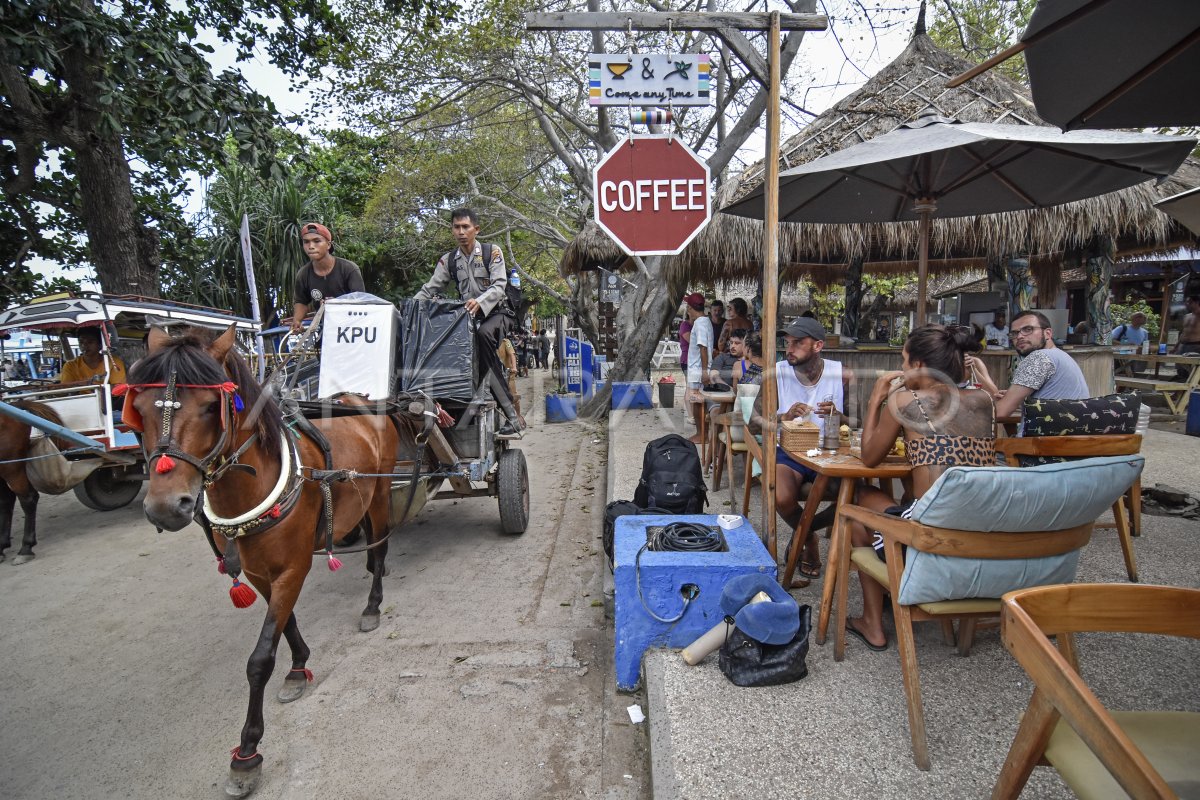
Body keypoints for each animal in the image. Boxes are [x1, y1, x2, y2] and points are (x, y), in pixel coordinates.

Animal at [130, 326, 403, 800]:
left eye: (210, 407)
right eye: (140, 408)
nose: (165, 507)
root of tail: (361, 400)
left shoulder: (293, 568)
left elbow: (259, 659)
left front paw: (247, 752)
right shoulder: (260, 573)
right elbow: (285, 623)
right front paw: (297, 667)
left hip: (382, 491)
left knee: (380, 544)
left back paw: (373, 603)